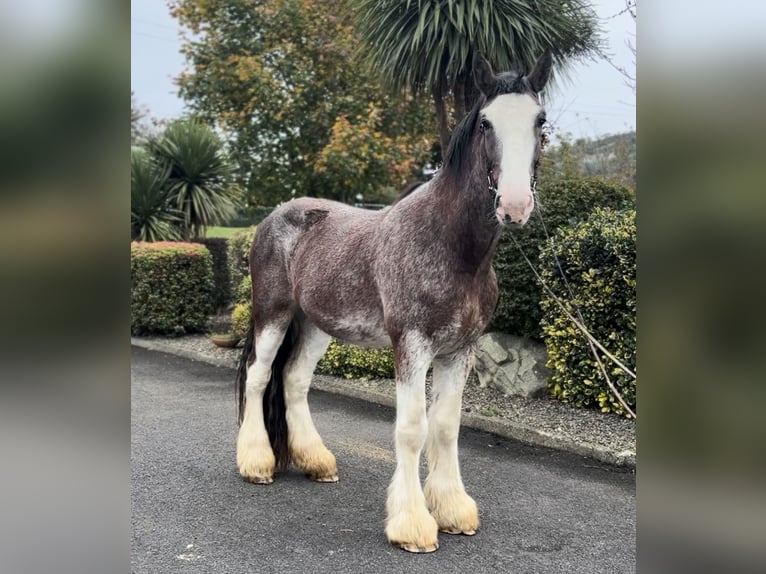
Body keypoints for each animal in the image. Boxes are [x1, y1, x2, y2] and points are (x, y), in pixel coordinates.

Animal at [234, 51, 552, 556]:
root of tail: (276, 216)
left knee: (294, 381)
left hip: (316, 326)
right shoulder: (412, 346)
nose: (516, 205)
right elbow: (412, 429)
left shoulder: (459, 350)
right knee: (260, 376)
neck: (451, 247)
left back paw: (316, 461)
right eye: (486, 123)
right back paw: (256, 463)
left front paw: (452, 510)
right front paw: (412, 525)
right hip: (273, 314)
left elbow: (445, 426)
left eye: (541, 121)